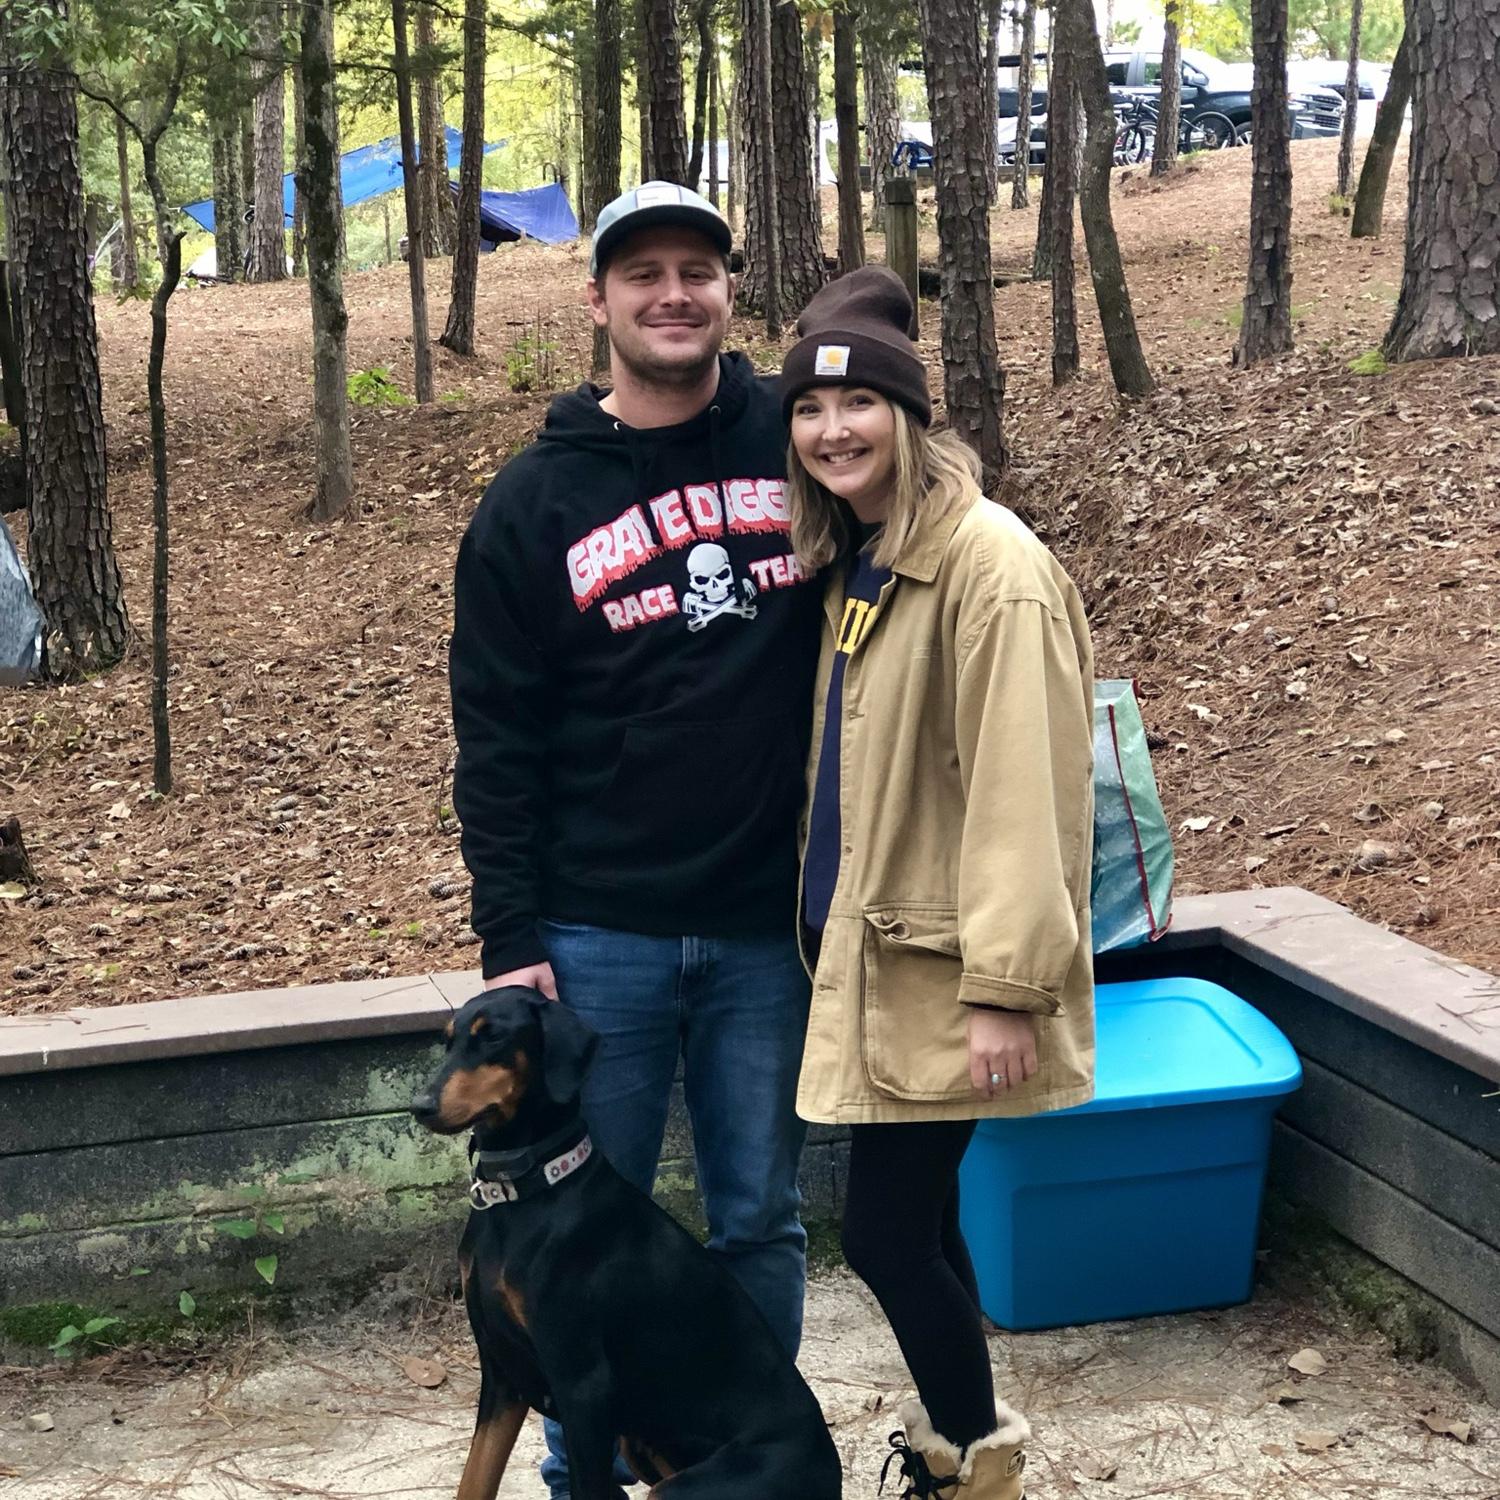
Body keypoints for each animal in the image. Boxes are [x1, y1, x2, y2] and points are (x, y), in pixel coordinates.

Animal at [412, 986, 844, 1500]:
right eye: (448, 1040)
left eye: (493, 1036)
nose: (420, 1105)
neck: (523, 1195)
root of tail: (831, 1474)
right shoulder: (502, 1378)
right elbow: (474, 1481)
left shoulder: (583, 1388)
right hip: (641, 1444)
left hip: (683, 1483)